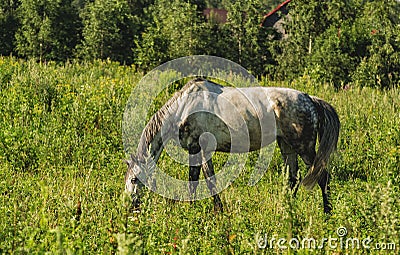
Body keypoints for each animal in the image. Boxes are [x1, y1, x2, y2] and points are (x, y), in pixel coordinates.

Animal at [123, 77, 340, 213]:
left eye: (134, 179)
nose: (129, 206)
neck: (183, 108)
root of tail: (310, 100)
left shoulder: (202, 149)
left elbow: (208, 181)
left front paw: (217, 211)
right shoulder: (195, 151)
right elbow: (194, 180)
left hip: (304, 147)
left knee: (322, 176)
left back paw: (327, 212)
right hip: (287, 146)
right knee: (293, 180)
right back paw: (287, 209)